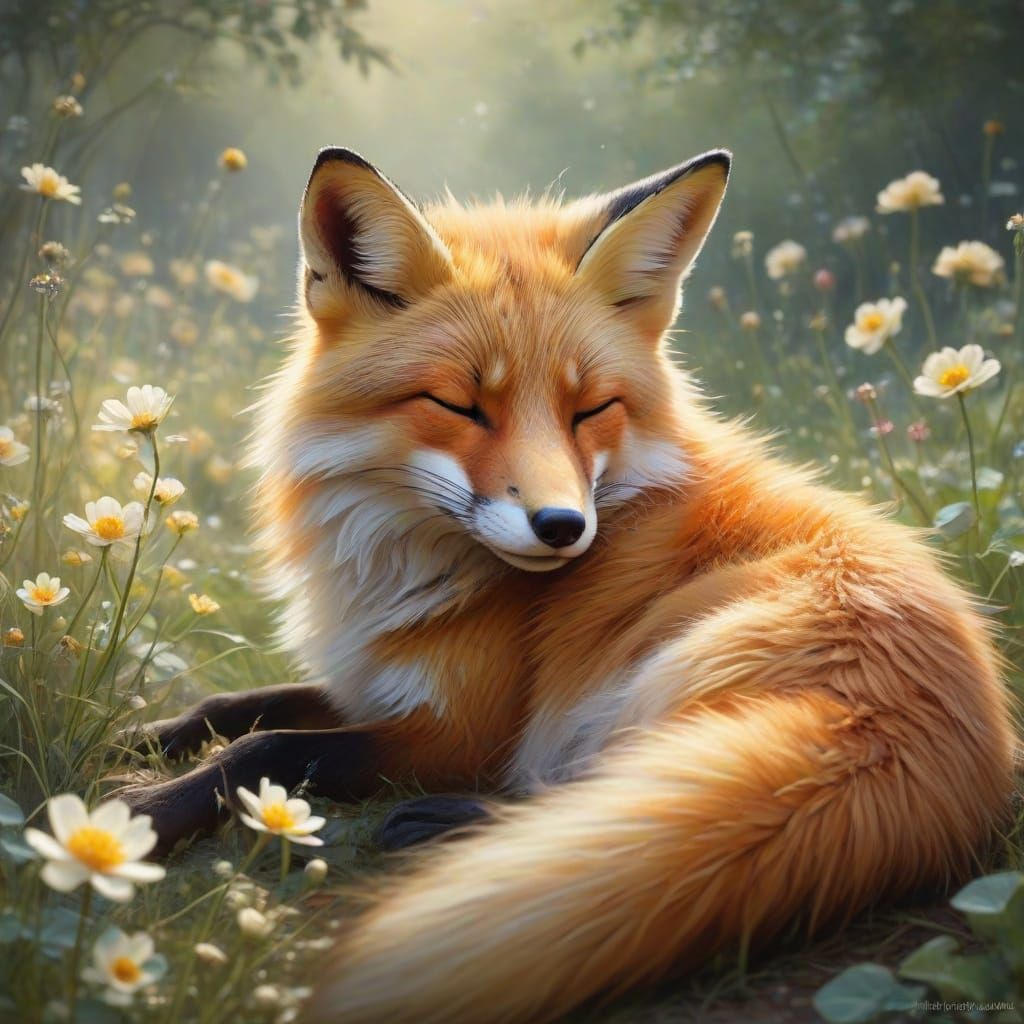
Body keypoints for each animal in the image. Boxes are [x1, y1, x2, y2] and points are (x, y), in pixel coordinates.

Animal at [124, 146, 1015, 1024]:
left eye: (591, 410)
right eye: (461, 405)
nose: (562, 526)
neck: (400, 567)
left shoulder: (459, 733)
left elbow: (264, 747)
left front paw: (145, 815)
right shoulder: (375, 680)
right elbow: (235, 706)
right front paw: (149, 737)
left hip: (649, 677)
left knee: (582, 798)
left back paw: (447, 826)